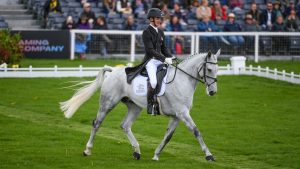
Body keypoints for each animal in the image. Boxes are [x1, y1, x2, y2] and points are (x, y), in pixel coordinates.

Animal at [60, 49, 220, 161]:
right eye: (209, 69)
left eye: (217, 69)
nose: (212, 92)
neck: (182, 80)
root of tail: (113, 71)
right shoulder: (183, 113)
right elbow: (196, 131)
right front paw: (209, 155)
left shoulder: (177, 116)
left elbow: (168, 136)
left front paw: (156, 155)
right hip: (108, 103)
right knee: (96, 123)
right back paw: (87, 150)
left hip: (134, 106)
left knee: (125, 125)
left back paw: (136, 151)